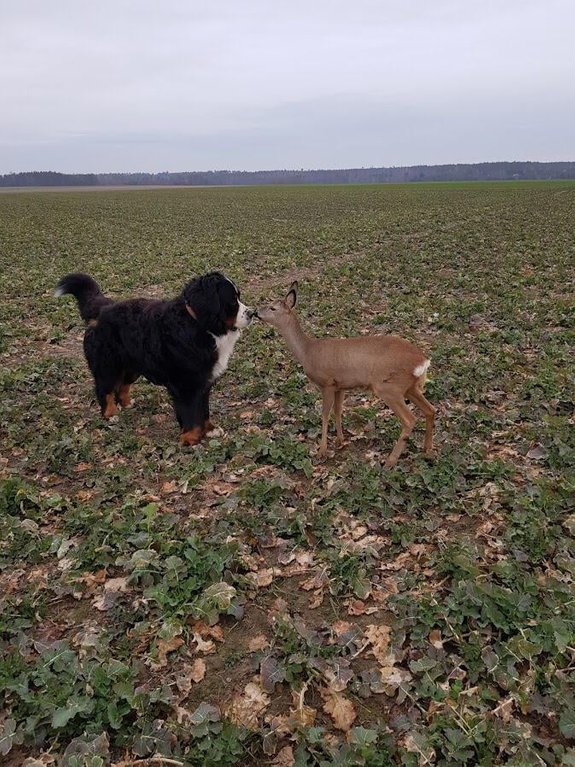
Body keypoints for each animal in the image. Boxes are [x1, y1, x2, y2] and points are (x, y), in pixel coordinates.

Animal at [55, 272, 253, 448]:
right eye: (232, 301)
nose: (252, 313)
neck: (198, 324)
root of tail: (103, 309)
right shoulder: (185, 385)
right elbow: (190, 413)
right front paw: (190, 438)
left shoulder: (204, 381)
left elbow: (203, 411)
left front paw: (210, 430)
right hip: (108, 366)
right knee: (105, 391)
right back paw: (110, 414)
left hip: (132, 367)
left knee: (122, 386)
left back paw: (127, 403)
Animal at [256, 282, 436, 468]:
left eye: (272, 307)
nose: (255, 312)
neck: (307, 351)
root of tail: (422, 360)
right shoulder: (340, 385)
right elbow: (338, 410)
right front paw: (340, 441)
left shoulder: (327, 382)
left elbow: (325, 414)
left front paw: (322, 451)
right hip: (409, 387)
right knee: (431, 410)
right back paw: (427, 451)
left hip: (388, 387)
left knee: (410, 419)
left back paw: (390, 461)